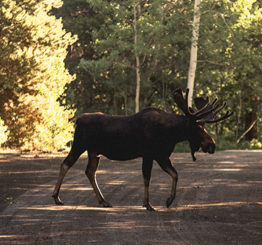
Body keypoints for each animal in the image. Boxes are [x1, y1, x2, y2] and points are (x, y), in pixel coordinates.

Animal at [52, 89, 232, 212]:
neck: (171, 133)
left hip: (94, 152)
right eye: (198, 127)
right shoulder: (150, 154)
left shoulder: (161, 155)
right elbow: (147, 178)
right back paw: (56, 197)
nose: (212, 145)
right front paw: (148, 204)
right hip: (79, 144)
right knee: (65, 164)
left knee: (90, 171)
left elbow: (175, 174)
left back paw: (103, 201)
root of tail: (77, 120)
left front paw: (168, 200)